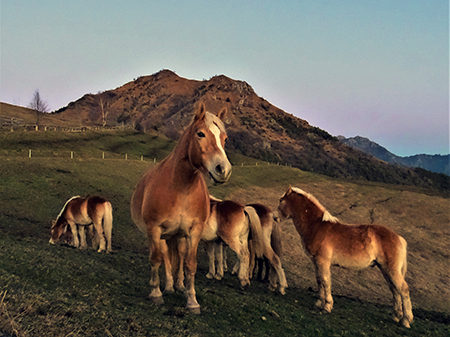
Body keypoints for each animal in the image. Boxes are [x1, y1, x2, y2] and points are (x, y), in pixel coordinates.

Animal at [128, 102, 230, 312]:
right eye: (200, 134)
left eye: (225, 138)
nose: (223, 170)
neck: (182, 188)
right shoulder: (155, 229)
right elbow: (156, 259)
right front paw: (156, 293)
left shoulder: (195, 231)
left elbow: (190, 264)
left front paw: (192, 301)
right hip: (164, 236)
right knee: (165, 256)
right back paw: (167, 286)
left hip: (179, 236)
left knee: (180, 256)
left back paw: (179, 285)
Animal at [278, 185, 414, 326]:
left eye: (280, 200)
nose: (275, 218)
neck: (317, 226)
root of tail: (399, 238)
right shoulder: (316, 262)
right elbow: (319, 280)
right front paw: (319, 303)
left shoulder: (323, 262)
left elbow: (326, 281)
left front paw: (327, 306)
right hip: (385, 269)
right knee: (394, 290)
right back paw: (396, 316)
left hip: (391, 270)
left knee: (403, 289)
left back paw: (406, 320)